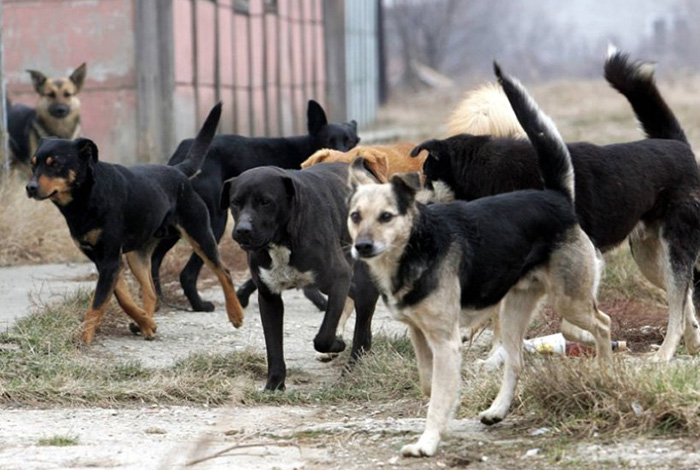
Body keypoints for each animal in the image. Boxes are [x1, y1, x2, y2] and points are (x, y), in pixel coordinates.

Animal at [26, 103, 245, 346]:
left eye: (55, 164)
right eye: (33, 165)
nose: (30, 187)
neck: (87, 195)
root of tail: (178, 171)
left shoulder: (110, 260)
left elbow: (98, 304)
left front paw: (83, 339)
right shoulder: (106, 261)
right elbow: (123, 299)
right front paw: (146, 323)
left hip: (200, 233)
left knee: (223, 271)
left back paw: (235, 314)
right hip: (137, 253)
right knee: (150, 291)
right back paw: (145, 322)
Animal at [153, 99, 360, 312]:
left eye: (350, 142)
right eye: (329, 140)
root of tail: (182, 155)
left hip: (180, 223)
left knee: (154, 258)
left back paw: (158, 300)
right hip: (211, 223)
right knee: (186, 272)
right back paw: (198, 304)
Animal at [348, 64, 608, 458]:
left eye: (386, 217)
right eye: (355, 216)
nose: (361, 247)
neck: (417, 247)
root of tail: (557, 197)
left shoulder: (445, 341)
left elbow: (438, 394)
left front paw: (427, 442)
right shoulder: (421, 335)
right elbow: (429, 385)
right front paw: (444, 416)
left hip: (570, 300)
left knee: (603, 325)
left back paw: (607, 371)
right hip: (514, 311)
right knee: (516, 360)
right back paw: (498, 410)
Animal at [412, 48, 700, 364]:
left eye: (425, 177)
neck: (488, 172)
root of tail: (678, 145)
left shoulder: (584, 256)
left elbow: (568, 323)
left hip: (674, 245)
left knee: (677, 300)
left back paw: (665, 352)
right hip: (649, 258)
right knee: (682, 295)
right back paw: (692, 340)